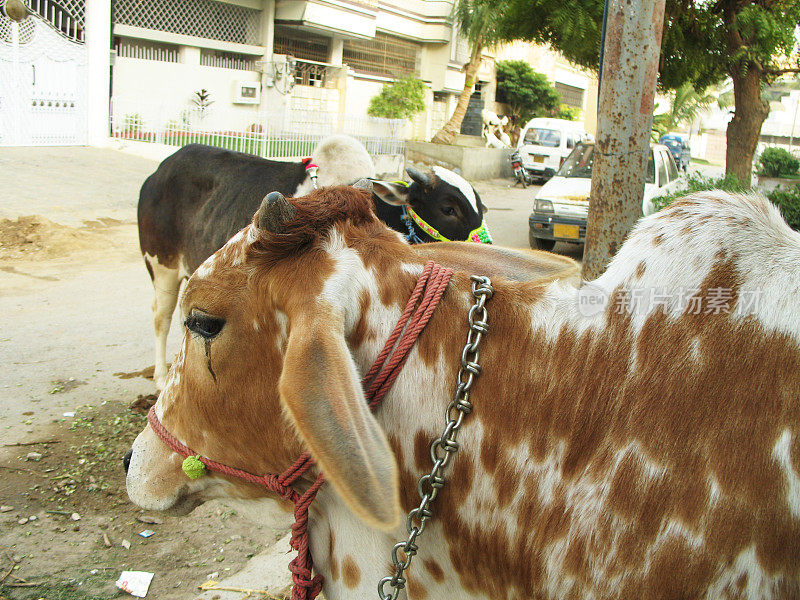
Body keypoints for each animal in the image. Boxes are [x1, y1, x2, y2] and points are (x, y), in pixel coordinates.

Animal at [138, 136, 488, 390]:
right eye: (449, 208)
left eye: (481, 206)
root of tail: (161, 169)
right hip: (162, 266)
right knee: (161, 316)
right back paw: (161, 376)